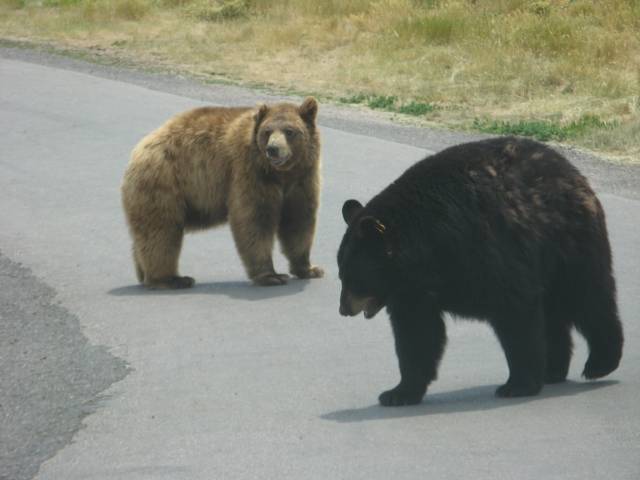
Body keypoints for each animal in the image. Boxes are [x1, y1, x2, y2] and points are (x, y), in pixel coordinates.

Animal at [120, 95, 322, 286]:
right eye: (267, 131)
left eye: (289, 131)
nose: (273, 149)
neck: (281, 173)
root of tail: (138, 150)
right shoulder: (249, 171)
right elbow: (254, 219)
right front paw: (271, 276)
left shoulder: (302, 178)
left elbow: (298, 220)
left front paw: (310, 268)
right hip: (164, 183)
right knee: (161, 232)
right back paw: (171, 279)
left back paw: (145, 273)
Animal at [338, 137, 624, 406]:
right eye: (342, 272)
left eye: (354, 276)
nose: (343, 309)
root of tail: (573, 172)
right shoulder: (414, 291)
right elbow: (416, 333)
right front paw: (399, 392)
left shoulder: (489, 252)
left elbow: (516, 312)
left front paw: (516, 384)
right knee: (555, 313)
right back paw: (553, 369)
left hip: (568, 243)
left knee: (588, 297)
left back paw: (600, 362)